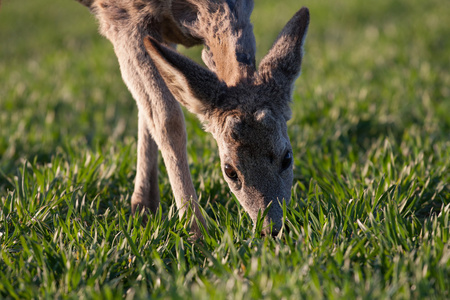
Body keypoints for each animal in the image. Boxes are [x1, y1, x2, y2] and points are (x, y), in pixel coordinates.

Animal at [76, 0, 310, 239]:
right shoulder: (120, 19)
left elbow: (148, 110)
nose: (271, 229)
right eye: (229, 171)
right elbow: (167, 119)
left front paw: (145, 208)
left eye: (287, 157)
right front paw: (195, 229)